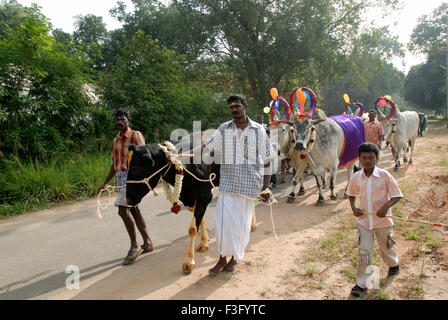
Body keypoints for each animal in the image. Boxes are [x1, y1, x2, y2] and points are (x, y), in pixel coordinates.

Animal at [125, 141, 220, 274]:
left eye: (134, 168)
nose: (127, 199)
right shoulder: (190, 199)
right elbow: (200, 220)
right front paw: (204, 243)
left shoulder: (204, 195)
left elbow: (192, 229)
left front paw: (188, 261)